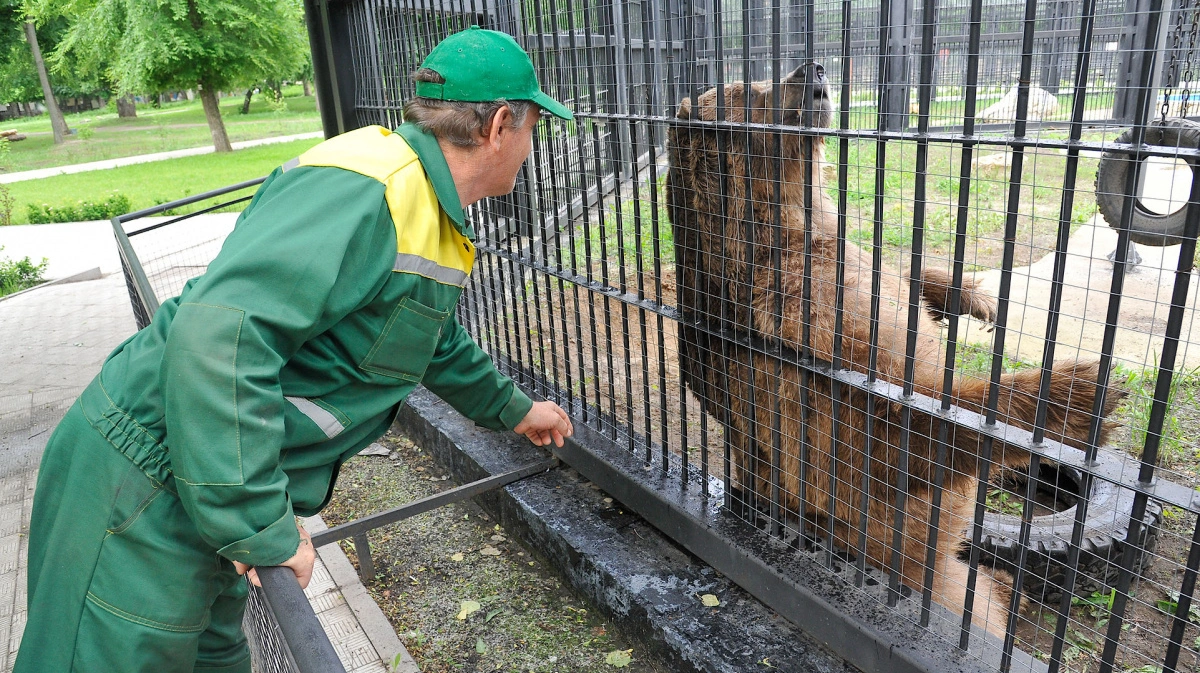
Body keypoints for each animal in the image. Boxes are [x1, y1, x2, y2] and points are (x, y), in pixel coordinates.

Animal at [667, 60, 1123, 633]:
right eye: (748, 90)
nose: (813, 67)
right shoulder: (787, 339)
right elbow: (868, 442)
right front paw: (1077, 393)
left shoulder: (845, 269)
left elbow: (901, 278)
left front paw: (976, 298)